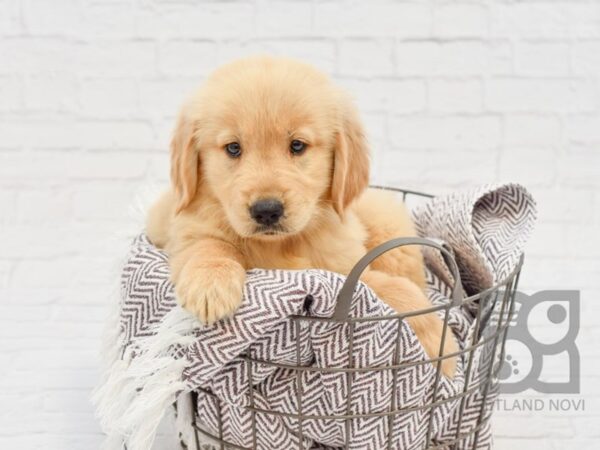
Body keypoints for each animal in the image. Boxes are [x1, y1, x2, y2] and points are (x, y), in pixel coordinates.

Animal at [148, 55, 458, 376]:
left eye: (297, 145)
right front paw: (211, 283)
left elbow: (396, 289)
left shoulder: (343, 272)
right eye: (233, 148)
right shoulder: (181, 225)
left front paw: (441, 346)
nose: (267, 210)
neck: (284, 244)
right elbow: (208, 244)